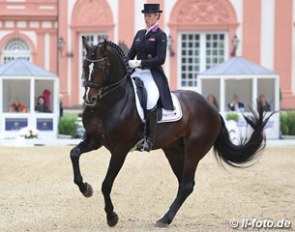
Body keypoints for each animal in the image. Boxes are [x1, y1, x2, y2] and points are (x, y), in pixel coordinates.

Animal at [70, 37, 274, 227]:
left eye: (102, 67)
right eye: (85, 65)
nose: (89, 98)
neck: (109, 103)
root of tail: (213, 110)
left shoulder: (120, 150)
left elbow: (106, 184)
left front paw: (111, 217)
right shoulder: (94, 140)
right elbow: (74, 153)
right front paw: (85, 188)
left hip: (193, 151)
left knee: (186, 185)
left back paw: (164, 219)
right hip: (173, 150)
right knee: (183, 183)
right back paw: (167, 217)